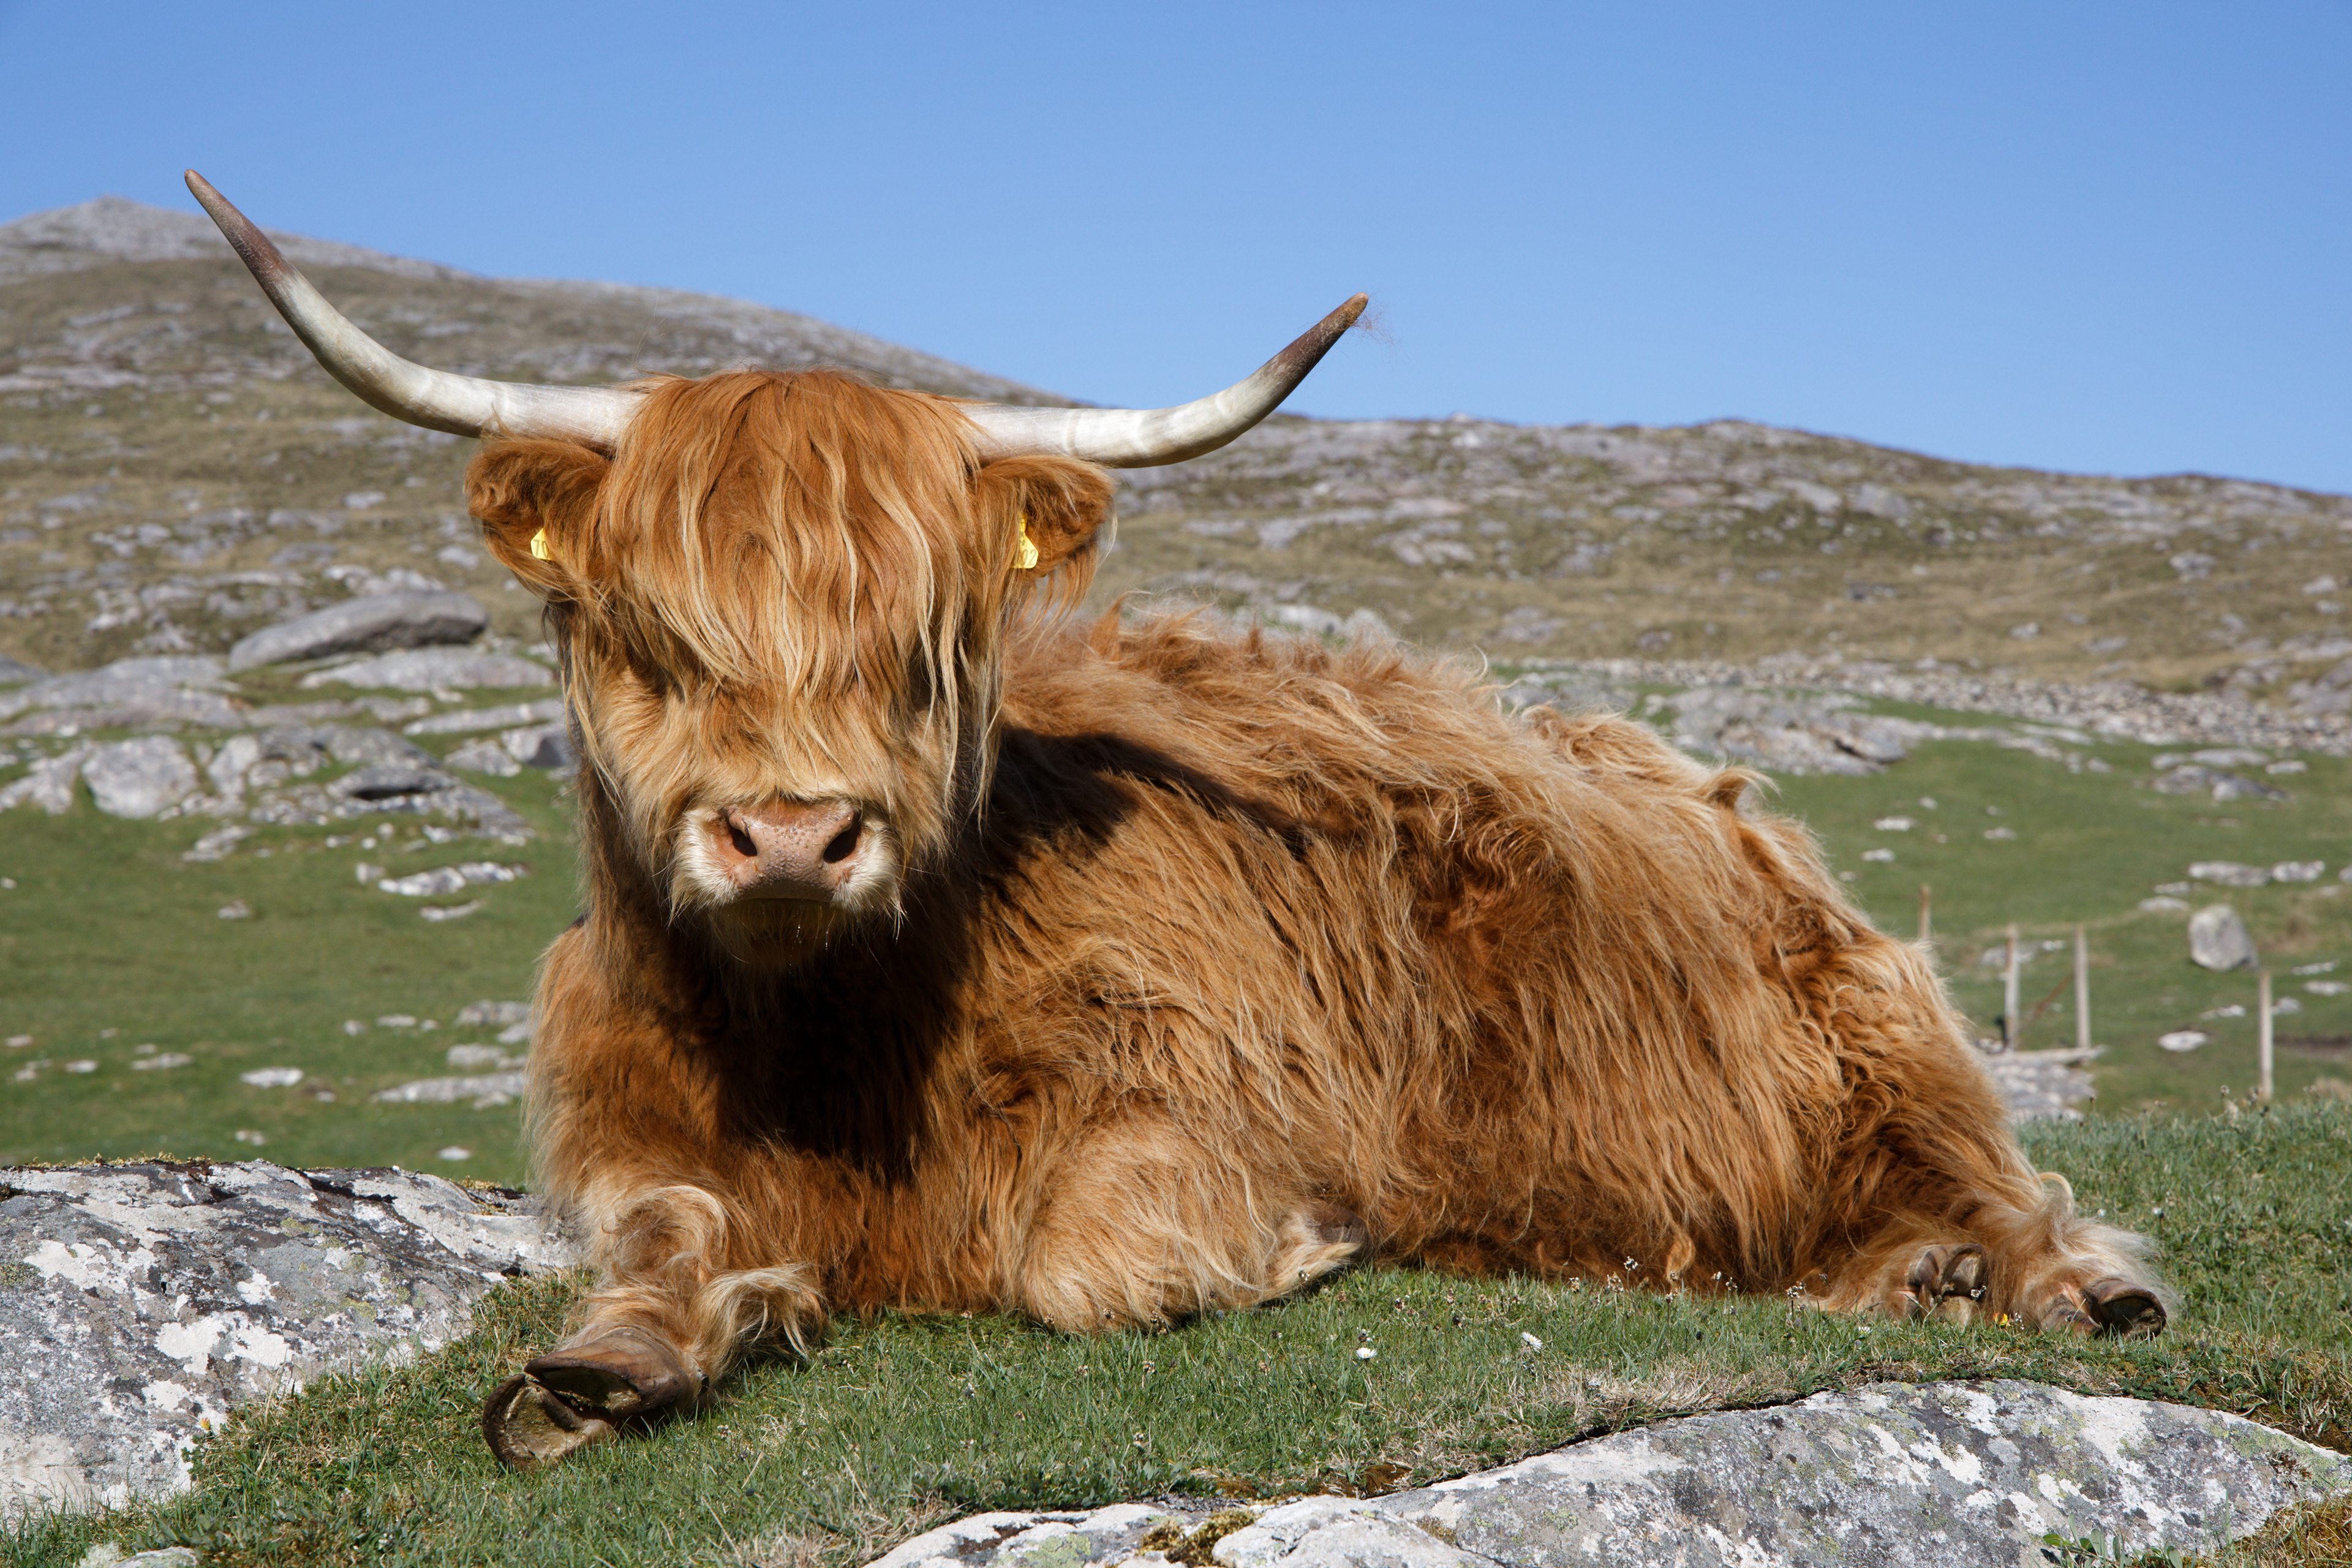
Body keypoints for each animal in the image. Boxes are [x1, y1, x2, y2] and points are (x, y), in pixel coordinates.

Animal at [188, 172, 2169, 1470]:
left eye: (922, 643)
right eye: (644, 631)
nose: (791, 838)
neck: (835, 1050)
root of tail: (1679, 771)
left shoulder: (1202, 1089)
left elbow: (1087, 1261)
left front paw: (1302, 1248)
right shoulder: (623, 1128)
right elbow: (664, 1235)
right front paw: (601, 1367)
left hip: (1873, 1027)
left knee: (2015, 1188)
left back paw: (2023, 1280)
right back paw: (1897, 1277)